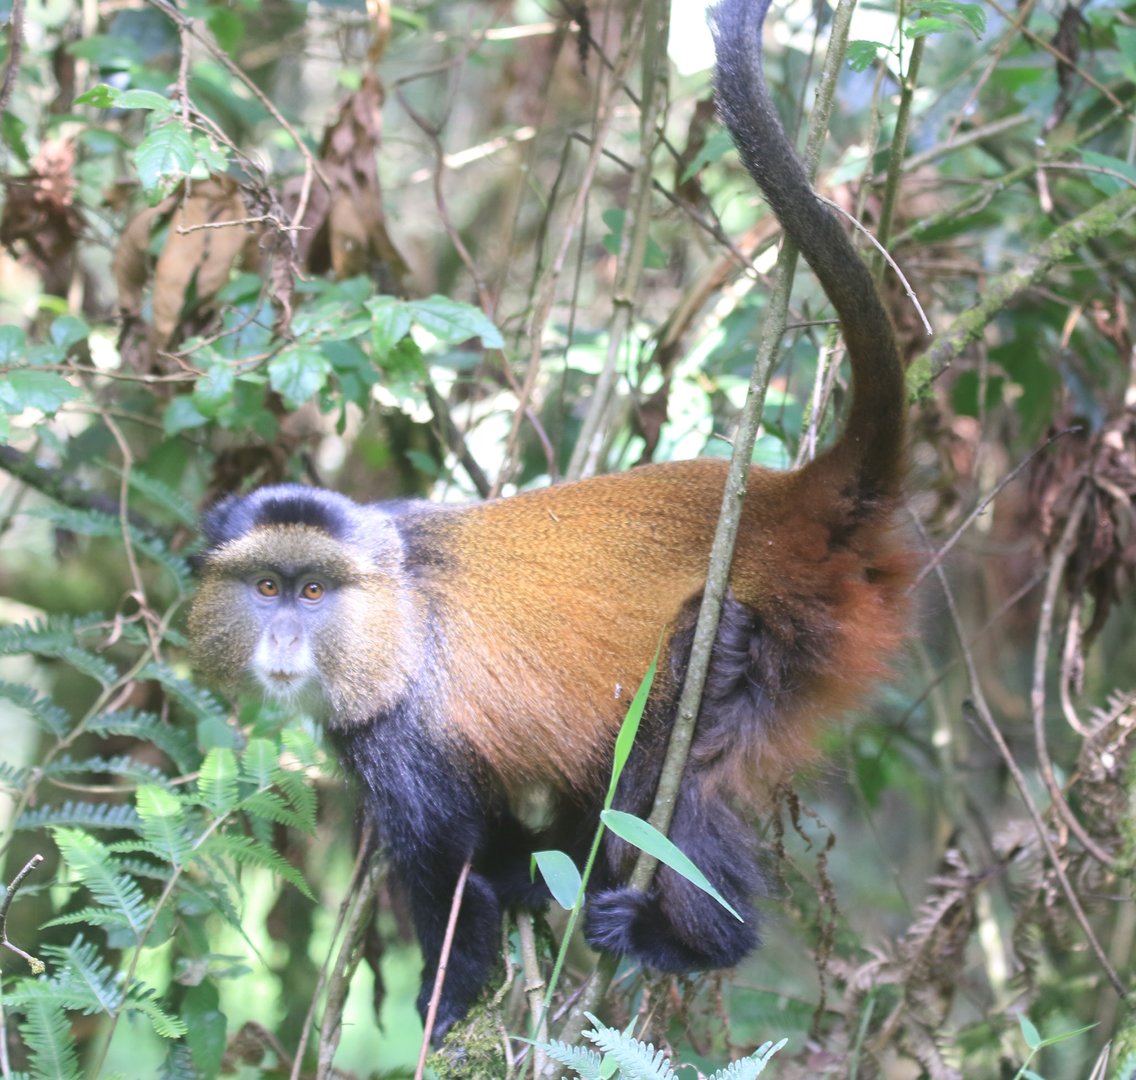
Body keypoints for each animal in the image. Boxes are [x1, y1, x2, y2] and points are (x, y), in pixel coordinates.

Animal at [188, 0, 912, 1042]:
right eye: (267, 587)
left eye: (313, 591)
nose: (283, 636)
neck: (394, 602)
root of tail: (788, 498)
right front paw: (517, 879)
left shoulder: (401, 736)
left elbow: (449, 875)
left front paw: (447, 1001)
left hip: (757, 636)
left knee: (664, 777)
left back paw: (694, 939)